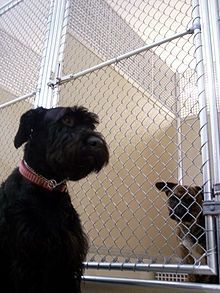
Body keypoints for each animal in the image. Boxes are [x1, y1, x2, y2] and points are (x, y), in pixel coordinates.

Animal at [0, 105, 109, 292]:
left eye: (91, 126)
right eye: (67, 120)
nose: (98, 142)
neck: (49, 187)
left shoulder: (67, 262)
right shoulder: (28, 261)